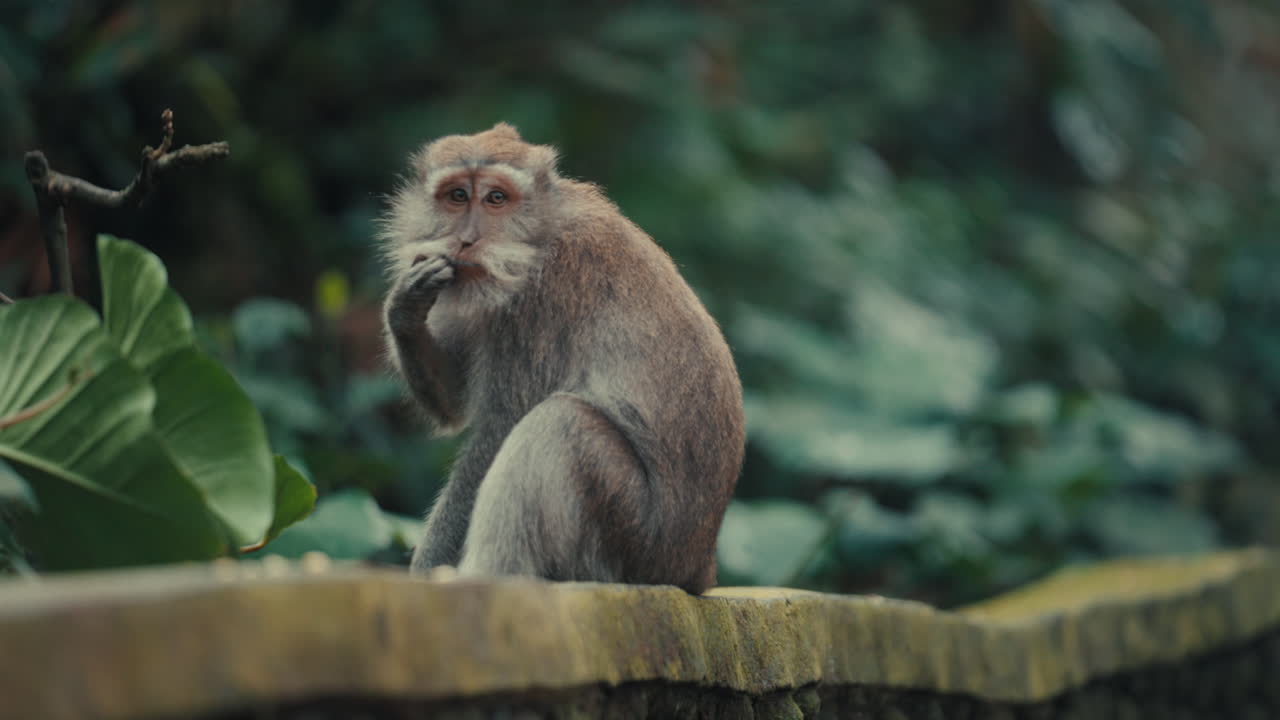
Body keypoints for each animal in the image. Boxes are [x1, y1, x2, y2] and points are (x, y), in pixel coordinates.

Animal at [379, 123, 744, 594]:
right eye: (457, 196)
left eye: (496, 198)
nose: (467, 240)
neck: (539, 235)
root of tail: (696, 572)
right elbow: (454, 405)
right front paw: (403, 308)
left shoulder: (544, 296)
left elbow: (500, 427)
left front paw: (426, 572)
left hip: (630, 543)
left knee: (561, 423)